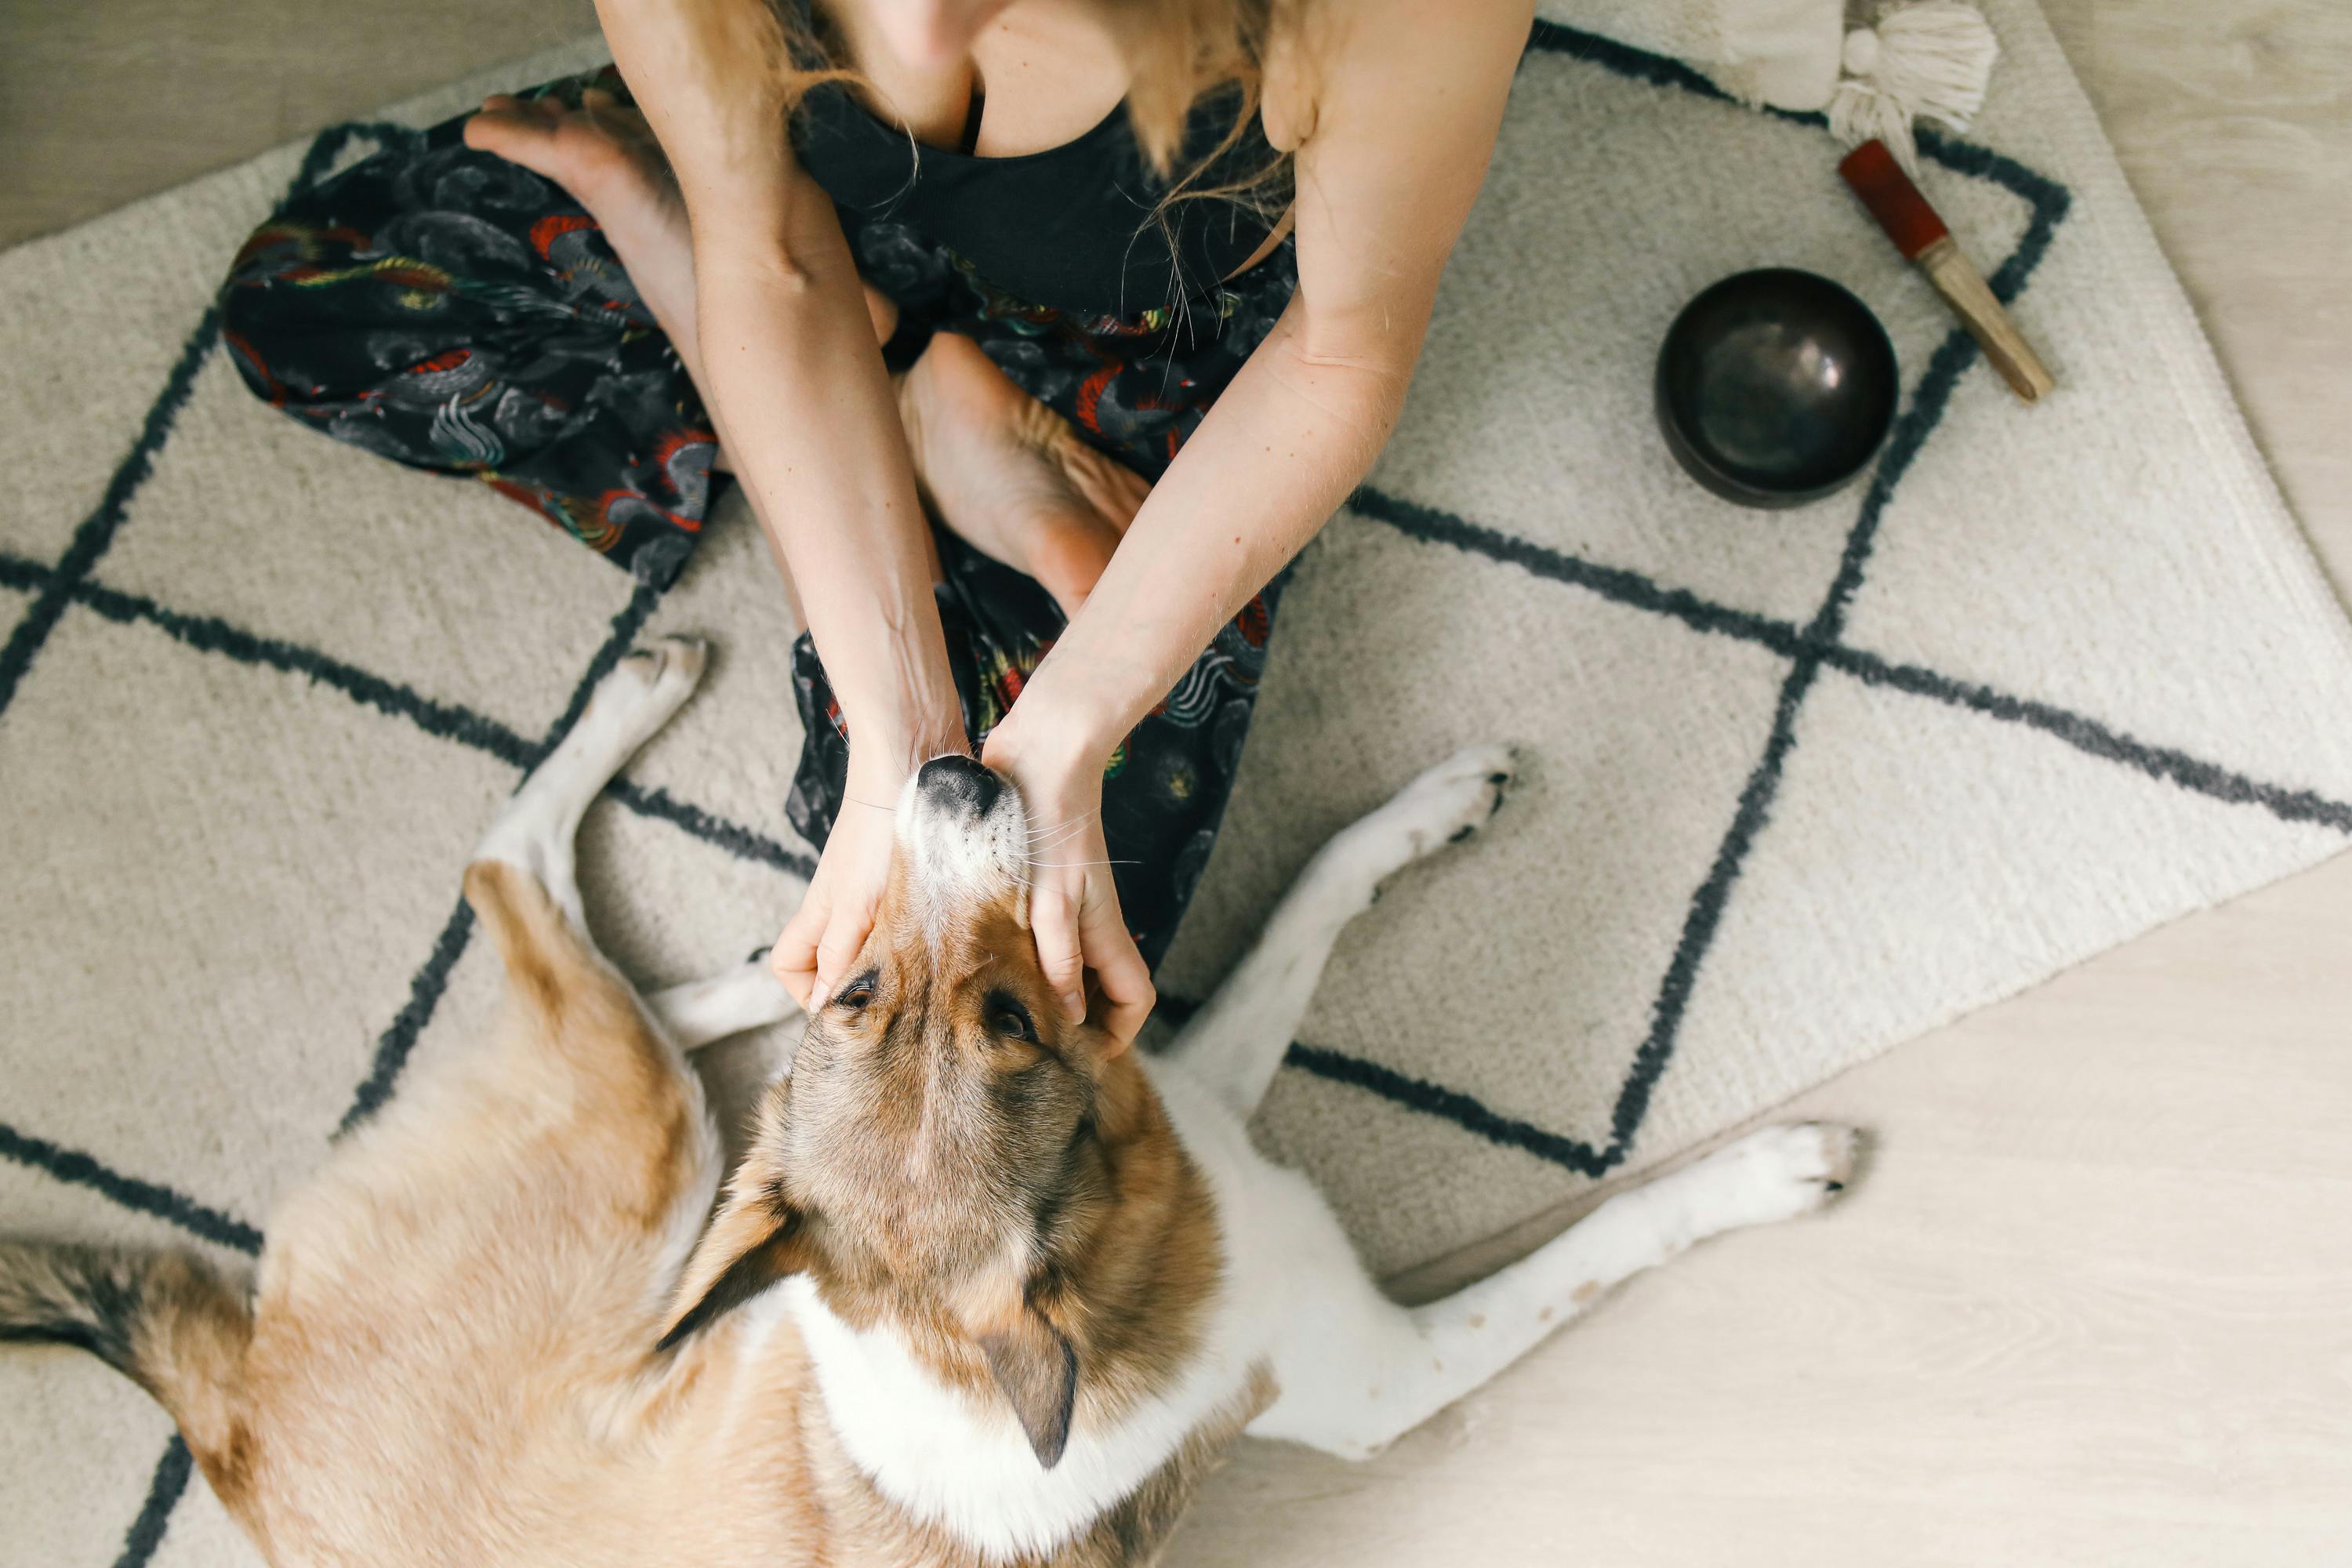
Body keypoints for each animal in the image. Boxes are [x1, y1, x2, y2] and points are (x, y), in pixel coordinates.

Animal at [0, 639, 1853, 1568]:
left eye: (984, 1011)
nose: (952, 773)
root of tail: (229, 1418)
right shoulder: (1385, 1367)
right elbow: (1597, 1246)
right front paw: (1774, 1170)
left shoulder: (1182, 1078)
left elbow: (1318, 886)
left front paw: (1432, 809)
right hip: (630, 1131)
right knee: (505, 867)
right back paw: (645, 714)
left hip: (684, 1162)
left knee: (634, 985)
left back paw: (740, 929)